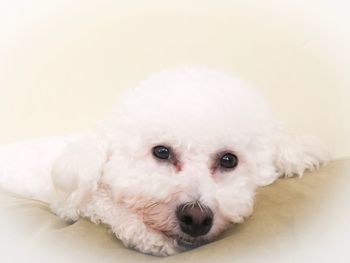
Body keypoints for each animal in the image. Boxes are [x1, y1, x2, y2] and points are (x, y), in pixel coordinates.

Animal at [0, 68, 328, 258]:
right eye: (161, 152)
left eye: (228, 160)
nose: (196, 218)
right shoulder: (70, 203)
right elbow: (106, 205)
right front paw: (148, 236)